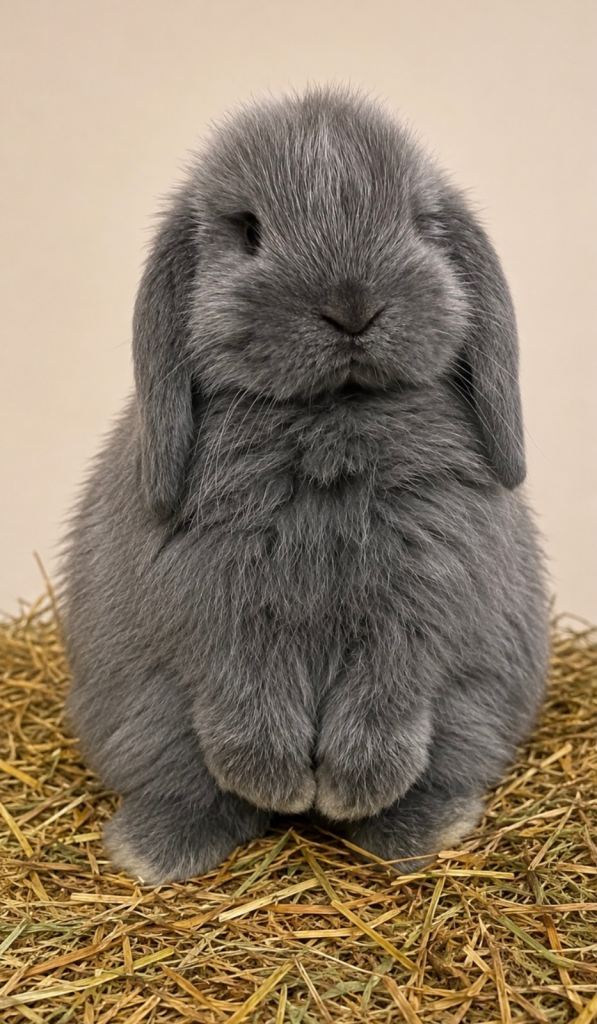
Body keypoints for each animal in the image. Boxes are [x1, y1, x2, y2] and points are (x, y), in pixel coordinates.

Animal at [61, 85, 549, 884]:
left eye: (418, 224)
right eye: (249, 231)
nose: (352, 306)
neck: (333, 425)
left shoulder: (421, 606)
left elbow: (391, 691)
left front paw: (347, 791)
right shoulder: (215, 609)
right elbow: (242, 696)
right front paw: (285, 786)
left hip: (476, 712)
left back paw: (421, 827)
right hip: (145, 719)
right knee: (191, 787)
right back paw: (156, 849)